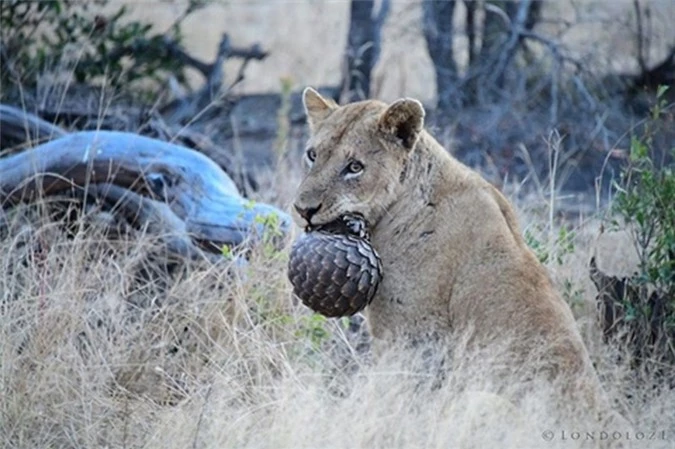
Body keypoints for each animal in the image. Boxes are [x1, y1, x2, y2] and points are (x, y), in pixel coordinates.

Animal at [294, 86, 632, 438]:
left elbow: (390, 396)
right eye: (312, 155)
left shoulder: (413, 335)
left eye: (355, 167)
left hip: (482, 397)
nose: (303, 209)